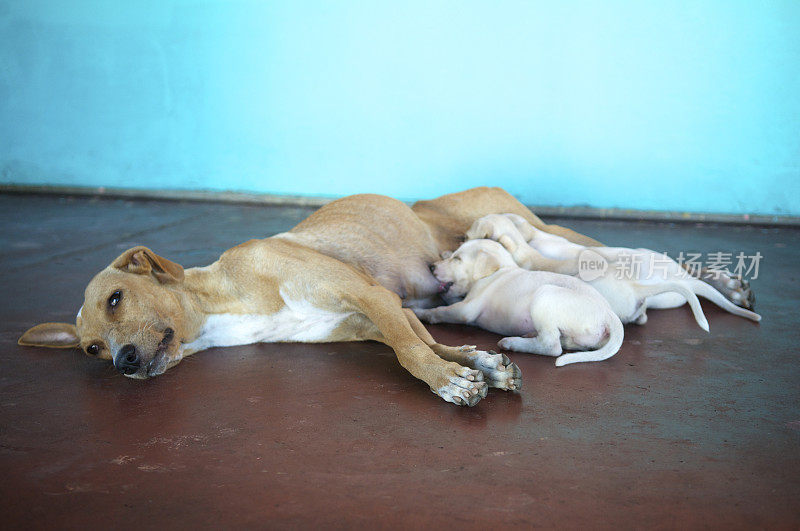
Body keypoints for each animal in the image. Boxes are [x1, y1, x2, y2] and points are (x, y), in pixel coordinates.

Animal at [416, 240, 628, 368]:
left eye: (458, 259)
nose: (431, 267)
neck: (500, 268)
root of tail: (608, 313)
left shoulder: (466, 308)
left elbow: (441, 310)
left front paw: (419, 312)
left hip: (545, 296)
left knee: (551, 345)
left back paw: (513, 343)